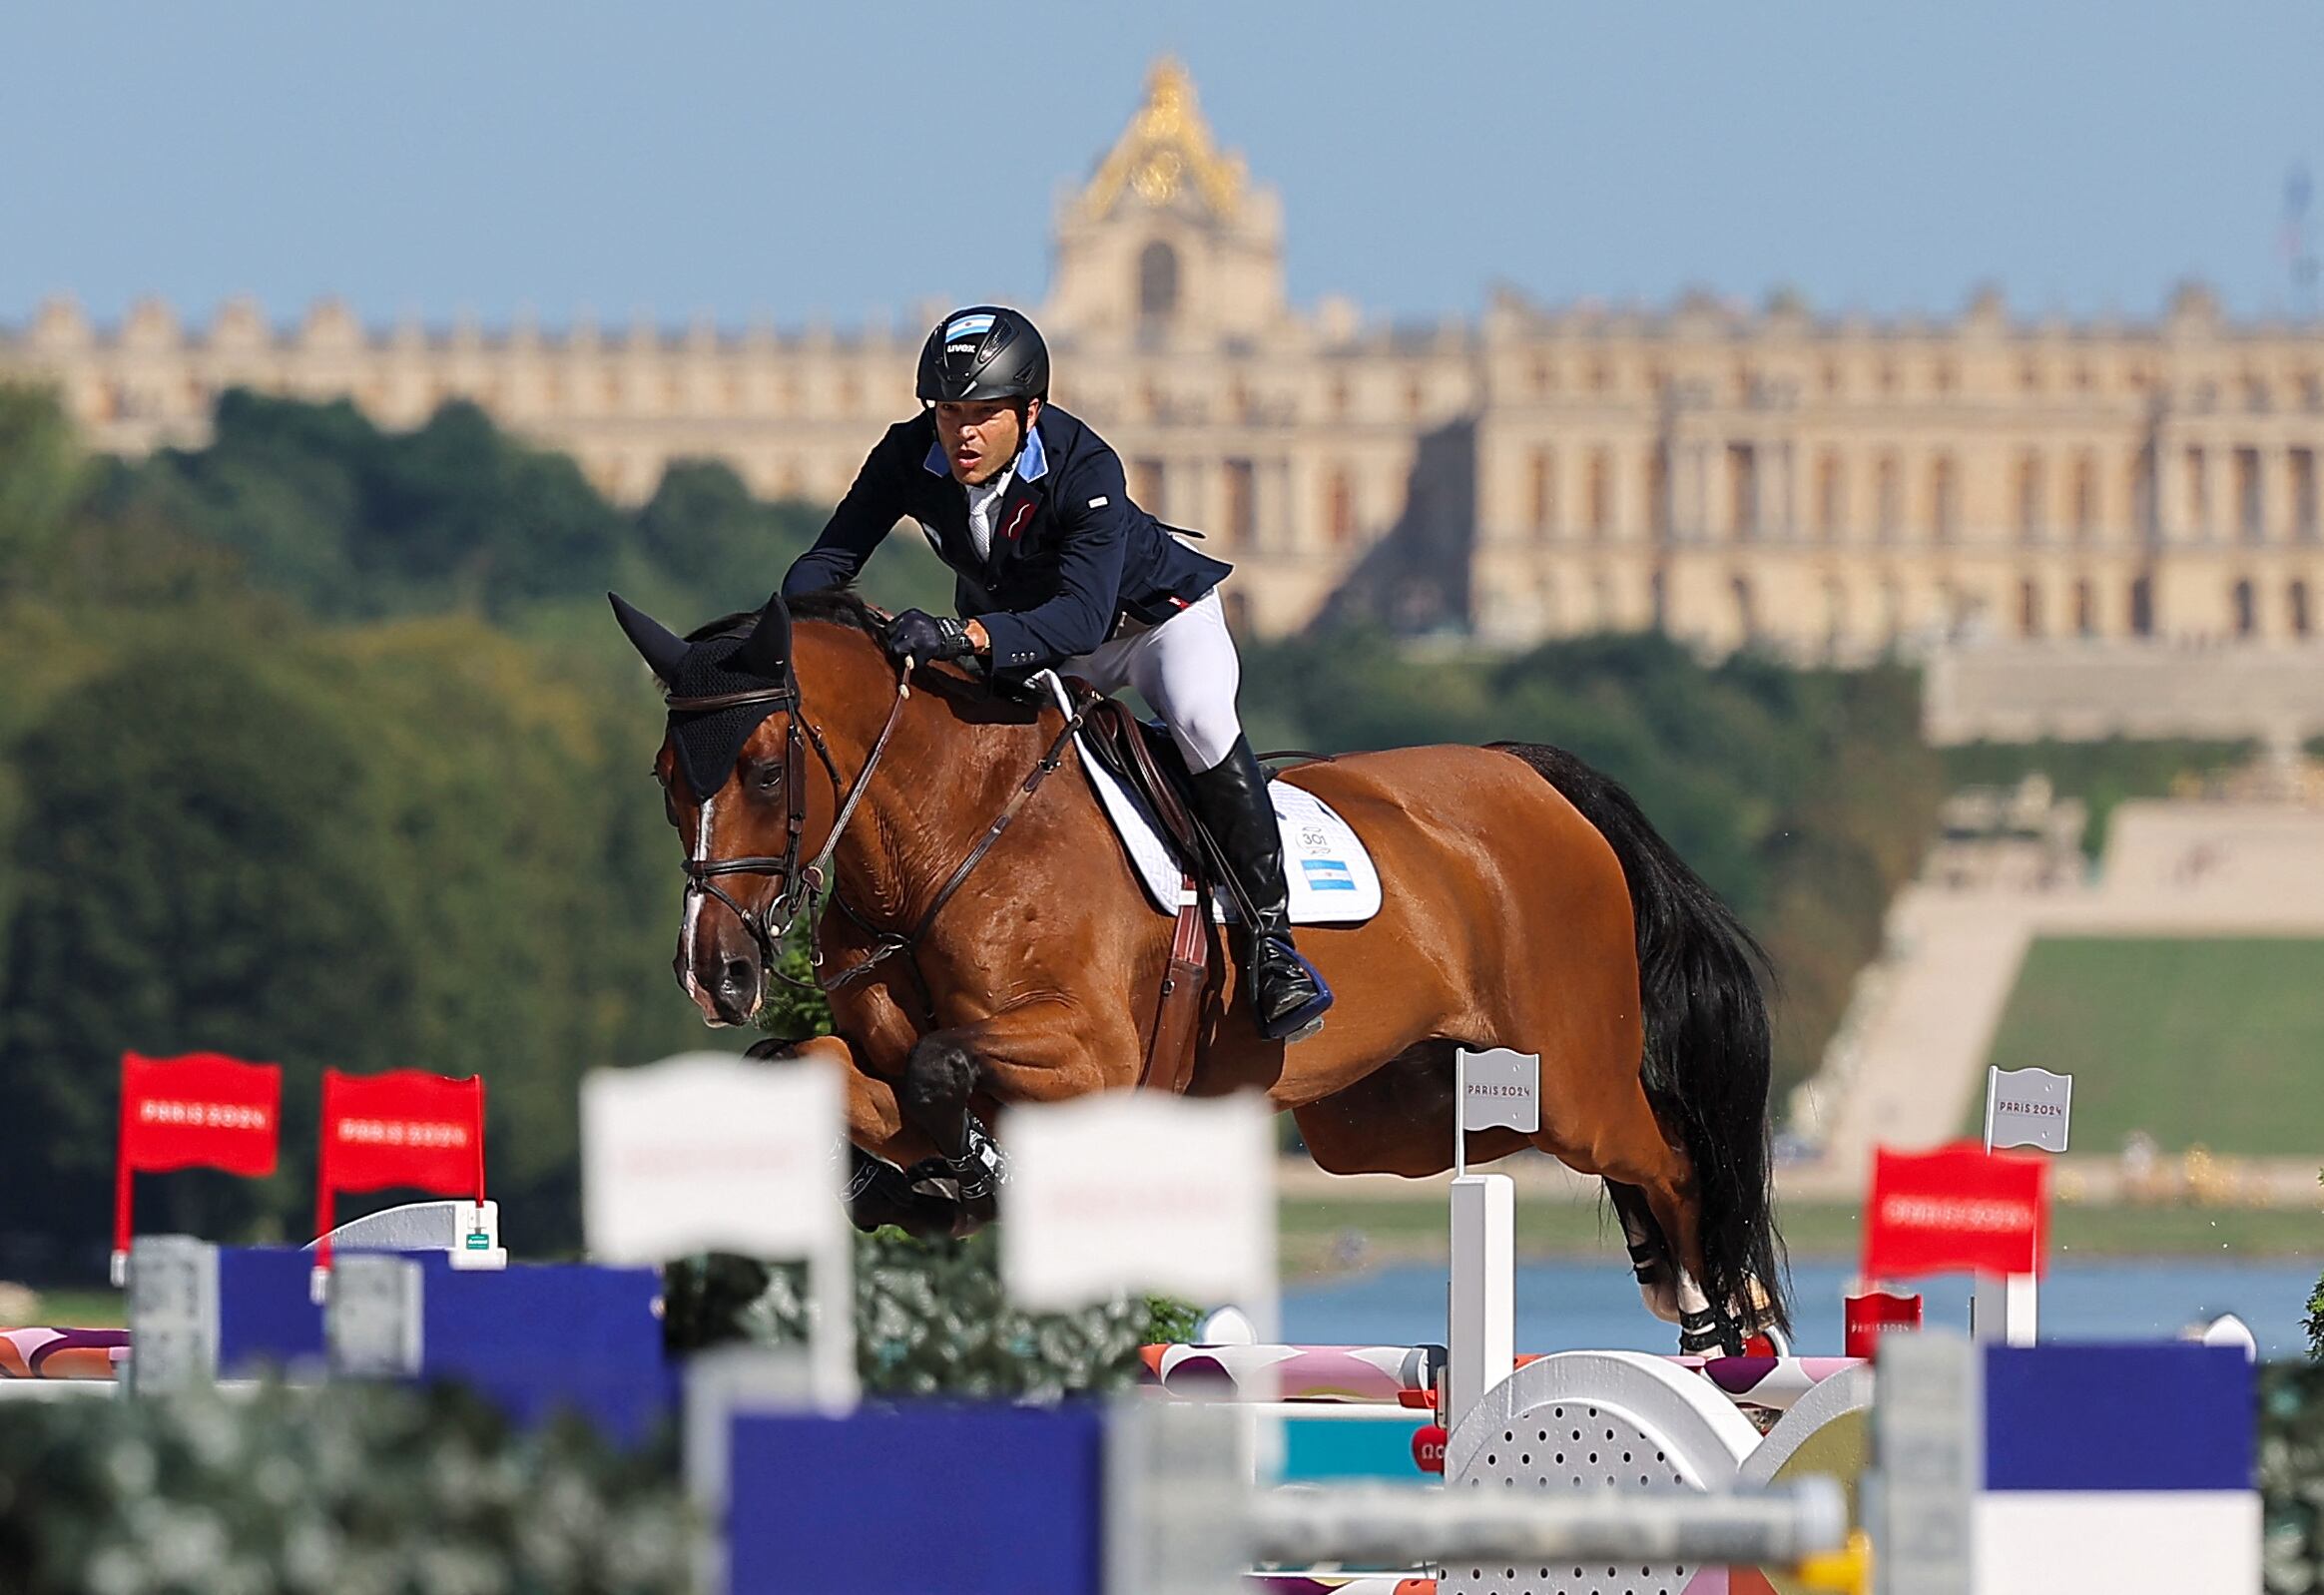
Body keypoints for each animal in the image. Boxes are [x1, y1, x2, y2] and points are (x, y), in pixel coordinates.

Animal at [608, 588, 1784, 1348]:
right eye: (665, 778)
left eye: (765, 770)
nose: (715, 975)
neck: (949, 838)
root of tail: (1530, 775)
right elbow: (812, 1067)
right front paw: (920, 1182)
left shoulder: (1088, 1059)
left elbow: (944, 1065)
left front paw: (964, 1173)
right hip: (1394, 1117)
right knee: (1565, 1151)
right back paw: (1678, 1289)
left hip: (1576, 1079)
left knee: (1674, 1153)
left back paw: (1731, 1321)